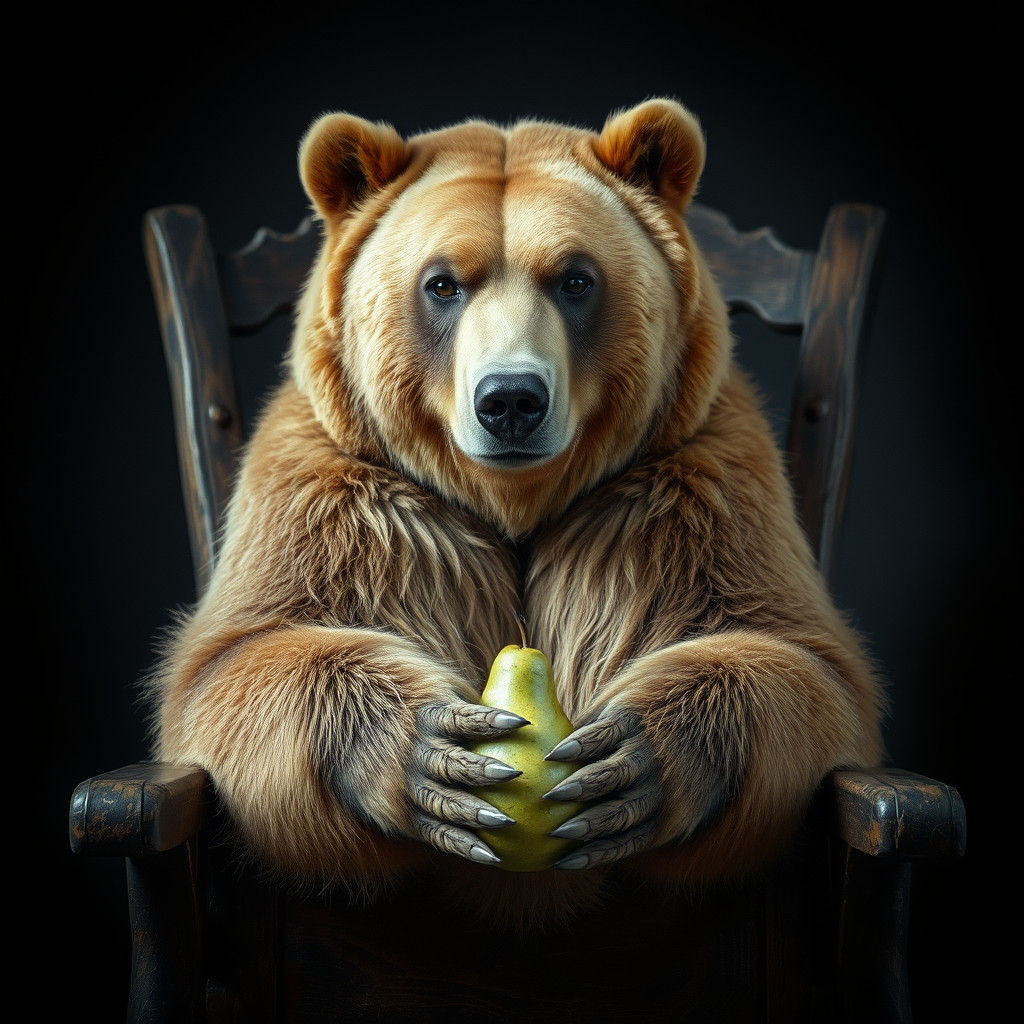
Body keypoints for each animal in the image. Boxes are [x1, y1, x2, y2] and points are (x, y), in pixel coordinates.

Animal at [150, 98, 884, 932]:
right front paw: (433, 751)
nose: (509, 400)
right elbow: (235, 660)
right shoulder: (333, 494)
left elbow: (802, 660)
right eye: (442, 283)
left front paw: (626, 760)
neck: (515, 501)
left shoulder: (697, 486)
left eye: (575, 278)